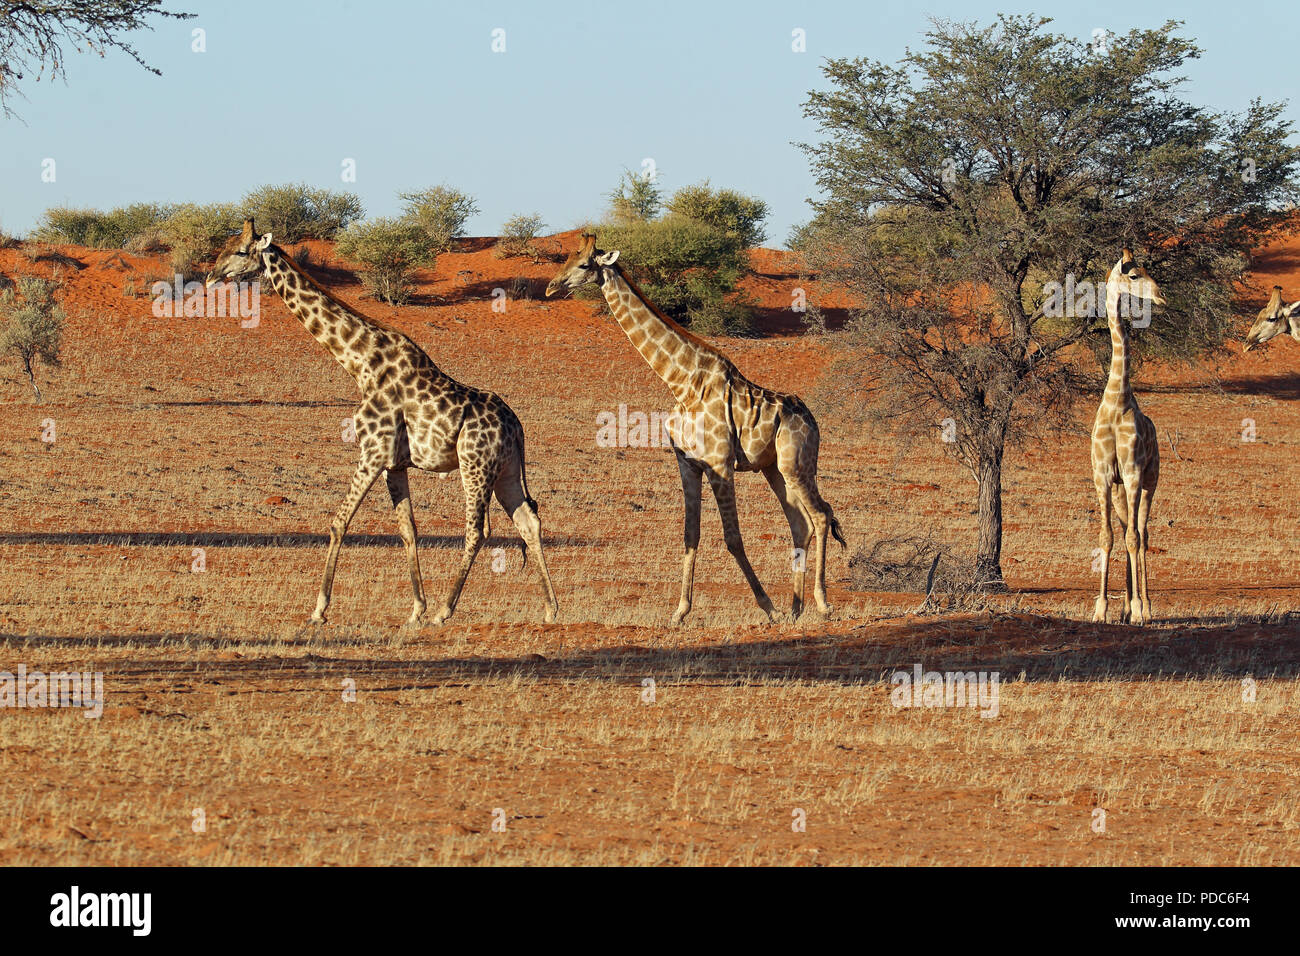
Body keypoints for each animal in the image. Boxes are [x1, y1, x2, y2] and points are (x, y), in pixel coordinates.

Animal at [205, 219, 558, 627]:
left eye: (240, 250)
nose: (211, 275)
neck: (360, 364)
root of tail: (516, 428)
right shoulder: (395, 463)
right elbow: (408, 530)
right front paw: (416, 608)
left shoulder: (372, 451)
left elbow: (339, 522)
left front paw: (319, 609)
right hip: (507, 470)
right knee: (528, 521)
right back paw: (550, 609)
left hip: (475, 464)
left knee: (477, 530)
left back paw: (445, 611)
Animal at [546, 234, 844, 625]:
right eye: (566, 258)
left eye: (583, 264)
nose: (551, 287)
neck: (681, 382)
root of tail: (812, 420)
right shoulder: (688, 463)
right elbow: (691, 534)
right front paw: (680, 611)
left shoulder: (719, 463)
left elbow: (732, 538)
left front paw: (768, 606)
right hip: (774, 469)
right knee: (800, 523)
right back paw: (796, 608)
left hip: (798, 464)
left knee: (822, 515)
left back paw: (821, 604)